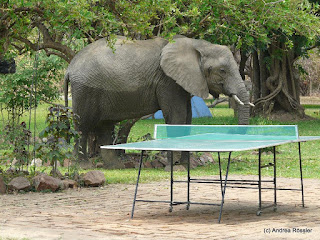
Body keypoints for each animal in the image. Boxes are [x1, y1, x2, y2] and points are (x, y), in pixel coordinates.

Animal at [65, 34, 254, 164]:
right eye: (222, 70)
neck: (197, 44)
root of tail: (70, 67)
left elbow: (187, 118)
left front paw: (184, 166)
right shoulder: (167, 81)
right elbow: (176, 117)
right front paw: (174, 166)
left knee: (105, 126)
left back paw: (114, 166)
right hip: (85, 89)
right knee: (82, 126)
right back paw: (82, 165)